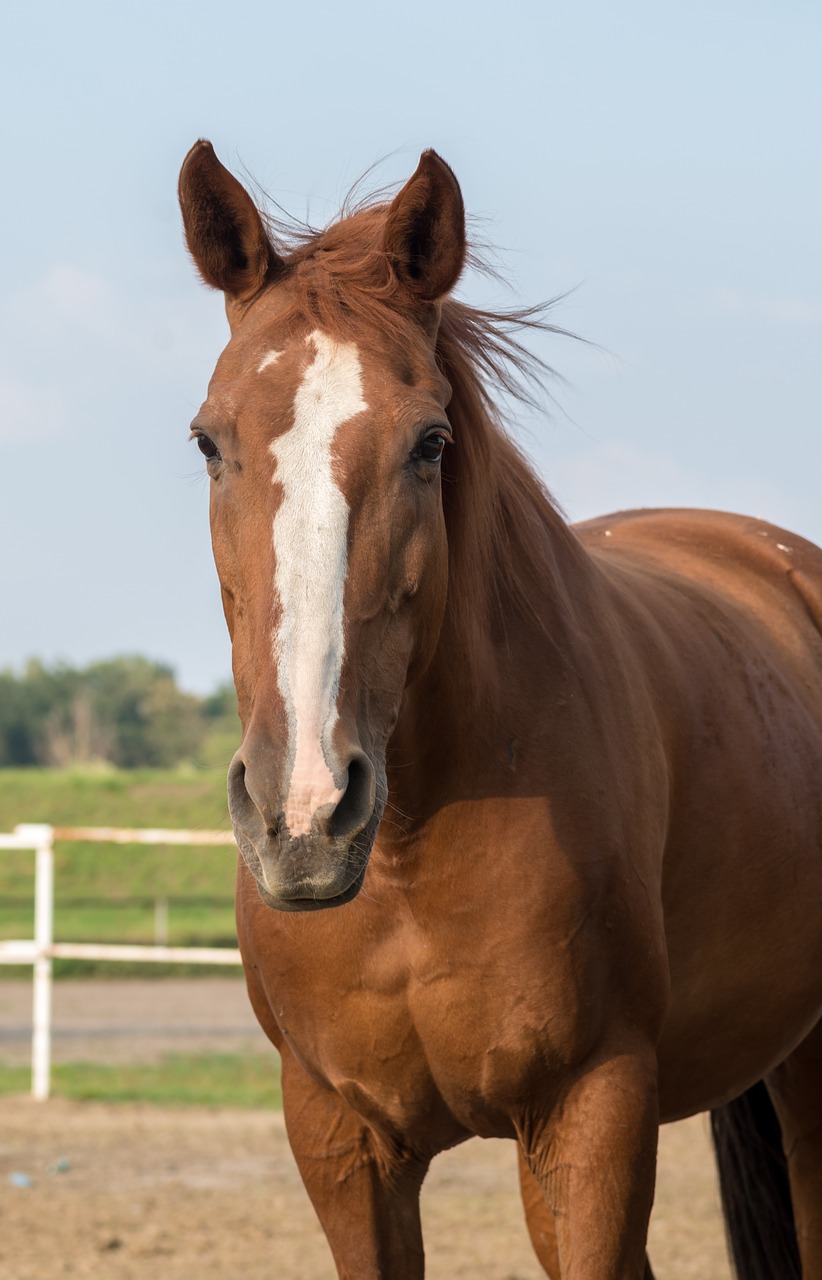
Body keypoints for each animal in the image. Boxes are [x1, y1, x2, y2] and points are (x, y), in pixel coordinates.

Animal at [177, 135, 819, 1274]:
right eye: (210, 440)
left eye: (430, 442)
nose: (303, 813)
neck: (405, 862)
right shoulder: (341, 1141)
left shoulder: (591, 1116)